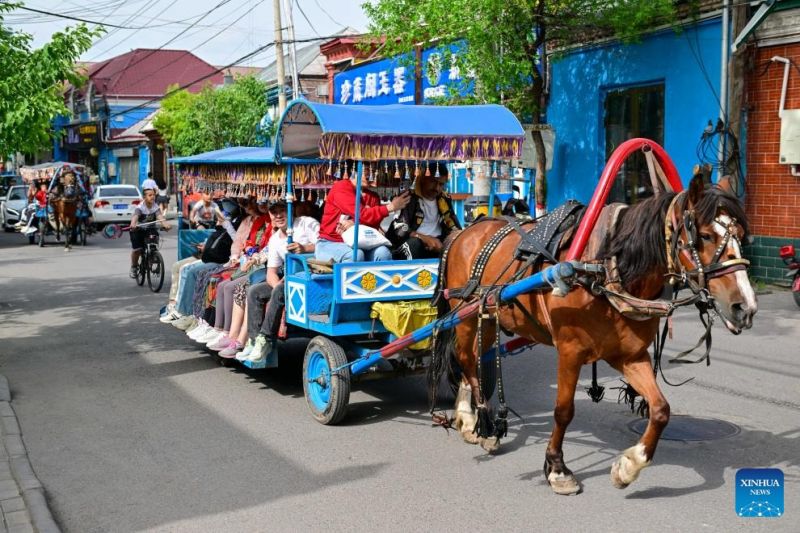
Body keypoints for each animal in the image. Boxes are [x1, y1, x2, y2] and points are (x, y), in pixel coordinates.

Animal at [432, 175, 756, 494]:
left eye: (741, 234)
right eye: (705, 236)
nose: (746, 307)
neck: (605, 272)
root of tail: (465, 231)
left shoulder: (630, 355)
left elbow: (661, 409)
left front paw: (629, 465)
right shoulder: (569, 352)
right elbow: (564, 410)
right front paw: (557, 469)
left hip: (487, 315)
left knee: (476, 358)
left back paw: (473, 419)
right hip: (465, 316)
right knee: (465, 358)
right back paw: (480, 422)